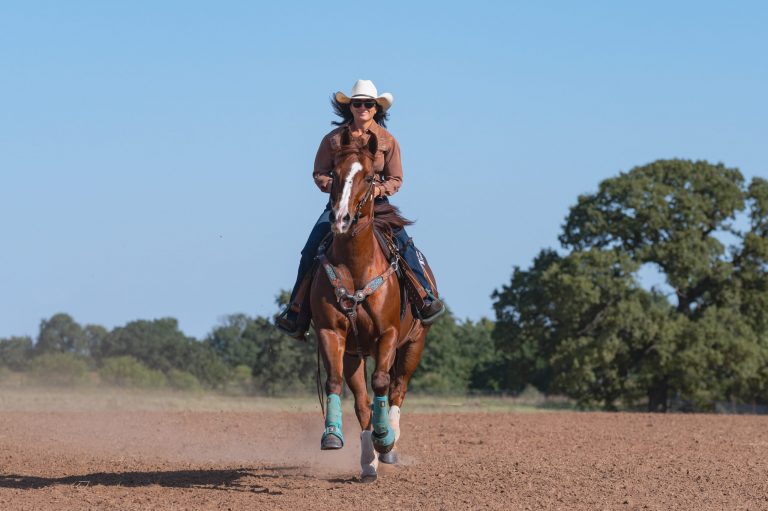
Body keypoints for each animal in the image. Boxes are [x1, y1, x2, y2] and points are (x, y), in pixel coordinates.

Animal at [308, 130, 438, 482]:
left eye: (368, 177)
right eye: (334, 174)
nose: (340, 219)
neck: (356, 266)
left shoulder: (388, 335)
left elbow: (382, 382)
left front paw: (384, 438)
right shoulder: (332, 333)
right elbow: (336, 382)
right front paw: (333, 436)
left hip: (413, 346)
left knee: (396, 389)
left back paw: (388, 442)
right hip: (355, 354)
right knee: (363, 402)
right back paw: (369, 462)